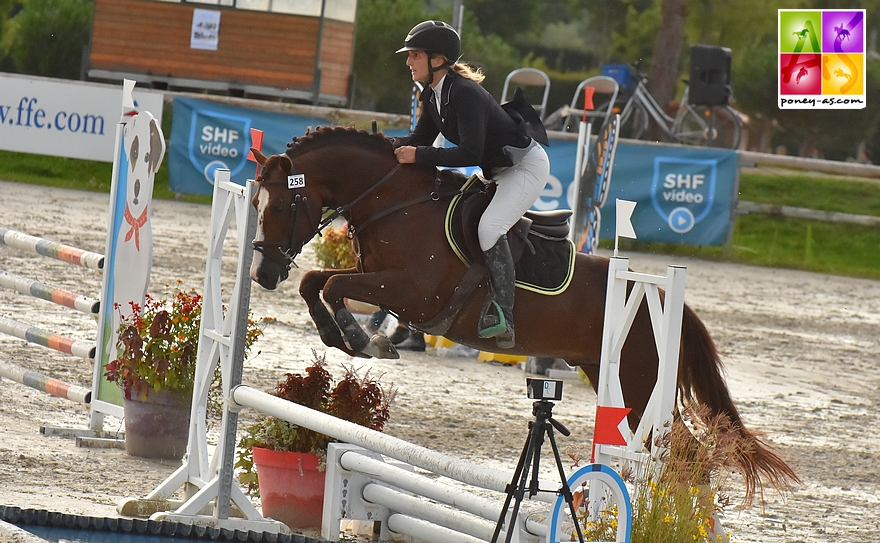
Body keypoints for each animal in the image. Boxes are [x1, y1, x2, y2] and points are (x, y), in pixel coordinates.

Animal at [248, 126, 796, 502]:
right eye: (255, 204)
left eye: (280, 207)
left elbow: (333, 284)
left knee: (688, 456)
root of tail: (666, 301)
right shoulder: (378, 281)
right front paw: (341, 335)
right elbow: (315, 282)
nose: (262, 273)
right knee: (684, 457)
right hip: (613, 380)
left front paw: (363, 340)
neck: (397, 203)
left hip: (641, 387)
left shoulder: (413, 293)